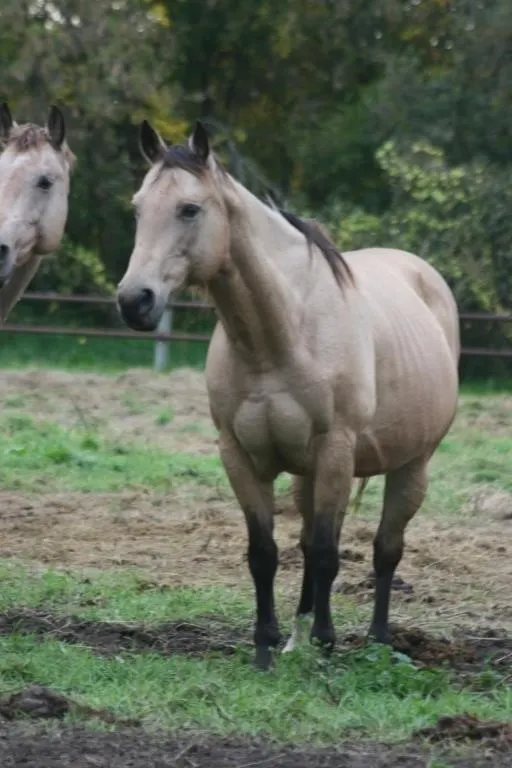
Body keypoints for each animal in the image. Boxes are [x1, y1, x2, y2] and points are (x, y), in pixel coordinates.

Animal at [117, 120, 460, 670]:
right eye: (137, 208)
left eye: (190, 209)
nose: (135, 301)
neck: (281, 335)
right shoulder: (240, 456)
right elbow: (267, 553)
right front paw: (266, 648)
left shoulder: (336, 451)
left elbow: (325, 552)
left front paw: (326, 644)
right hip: (308, 473)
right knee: (311, 539)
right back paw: (299, 637)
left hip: (411, 465)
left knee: (385, 548)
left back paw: (378, 641)